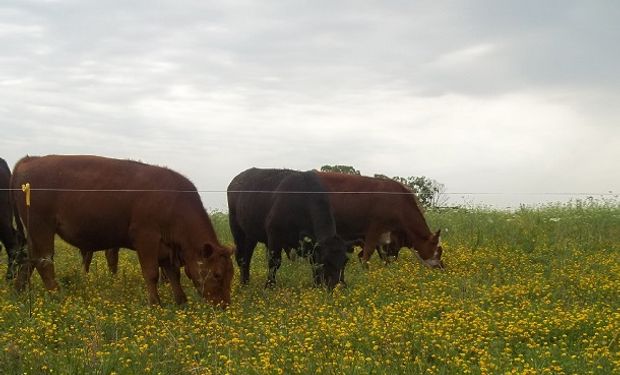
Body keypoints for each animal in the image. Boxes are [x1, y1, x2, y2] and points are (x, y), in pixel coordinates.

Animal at [10, 154, 234, 306]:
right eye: (217, 274)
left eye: (231, 274)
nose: (223, 305)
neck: (174, 202)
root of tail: (30, 160)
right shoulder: (146, 238)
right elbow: (151, 273)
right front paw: (156, 304)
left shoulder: (165, 247)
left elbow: (173, 274)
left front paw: (181, 301)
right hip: (41, 228)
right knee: (44, 262)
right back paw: (58, 295)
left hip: (33, 233)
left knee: (28, 260)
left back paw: (19, 292)